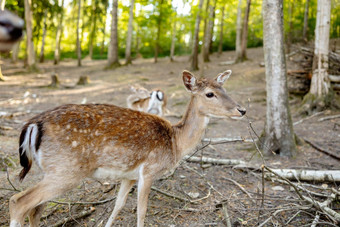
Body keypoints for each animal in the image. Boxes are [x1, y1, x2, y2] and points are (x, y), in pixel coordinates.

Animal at [9, 69, 246, 227]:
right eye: (209, 94)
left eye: (224, 88)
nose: (242, 109)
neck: (175, 143)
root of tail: (33, 125)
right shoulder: (149, 170)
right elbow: (141, 211)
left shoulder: (128, 176)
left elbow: (118, 206)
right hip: (67, 170)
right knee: (18, 202)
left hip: (53, 170)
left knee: (35, 209)